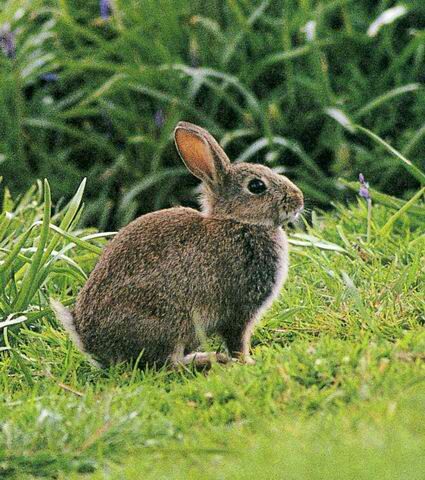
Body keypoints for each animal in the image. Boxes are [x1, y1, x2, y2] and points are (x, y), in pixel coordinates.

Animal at [51, 121, 304, 368]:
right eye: (257, 186)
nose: (299, 200)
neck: (237, 221)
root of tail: (90, 343)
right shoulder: (239, 309)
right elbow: (237, 340)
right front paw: (248, 361)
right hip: (171, 322)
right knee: (168, 363)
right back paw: (208, 359)